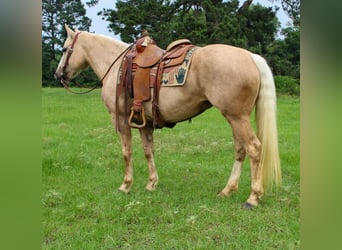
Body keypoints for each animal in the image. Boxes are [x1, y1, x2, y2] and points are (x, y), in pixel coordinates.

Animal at [54, 24, 282, 207]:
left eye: (64, 49)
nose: (58, 74)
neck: (117, 65)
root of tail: (251, 57)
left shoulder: (119, 118)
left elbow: (126, 151)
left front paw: (126, 185)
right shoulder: (144, 122)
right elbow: (148, 151)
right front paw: (151, 183)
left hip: (236, 117)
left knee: (254, 149)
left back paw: (253, 197)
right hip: (235, 117)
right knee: (240, 150)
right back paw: (227, 190)